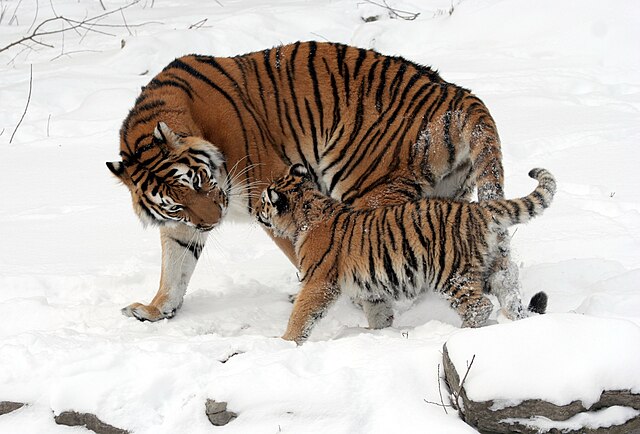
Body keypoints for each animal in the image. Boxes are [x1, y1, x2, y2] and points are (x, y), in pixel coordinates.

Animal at [107, 41, 530, 323]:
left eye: (197, 180)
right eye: (175, 203)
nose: (213, 222)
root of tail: (458, 94)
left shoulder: (270, 190)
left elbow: (306, 253)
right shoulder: (184, 223)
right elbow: (175, 265)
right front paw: (155, 309)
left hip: (367, 188)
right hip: (449, 194)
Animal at [257, 164, 555, 344]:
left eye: (263, 201)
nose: (257, 212)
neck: (307, 213)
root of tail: (479, 209)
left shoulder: (318, 282)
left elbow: (302, 314)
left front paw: (285, 343)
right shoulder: (371, 287)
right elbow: (378, 312)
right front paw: (377, 333)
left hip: (452, 274)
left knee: (479, 306)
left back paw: (458, 335)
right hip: (494, 268)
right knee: (510, 294)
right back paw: (518, 323)